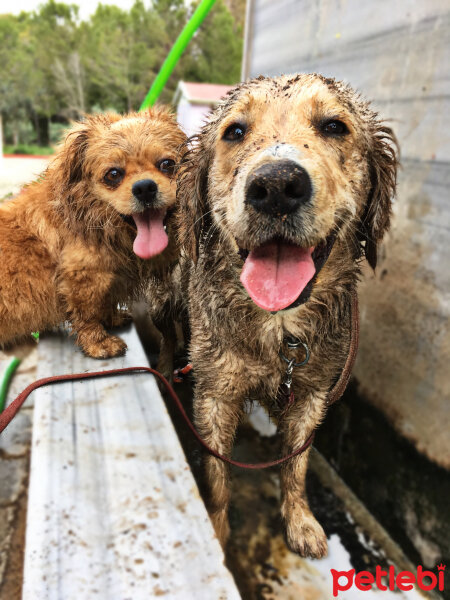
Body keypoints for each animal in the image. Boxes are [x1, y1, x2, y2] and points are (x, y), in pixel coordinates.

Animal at [0, 109, 185, 356]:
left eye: (167, 164)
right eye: (113, 174)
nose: (145, 187)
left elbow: (105, 303)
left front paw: (112, 318)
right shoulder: (82, 279)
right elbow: (87, 315)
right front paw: (99, 343)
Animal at [177, 74, 398, 556]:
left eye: (334, 126)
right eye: (235, 132)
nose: (276, 186)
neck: (279, 329)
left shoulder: (314, 394)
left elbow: (296, 466)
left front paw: (300, 521)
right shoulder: (214, 395)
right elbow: (217, 478)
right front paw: (217, 531)